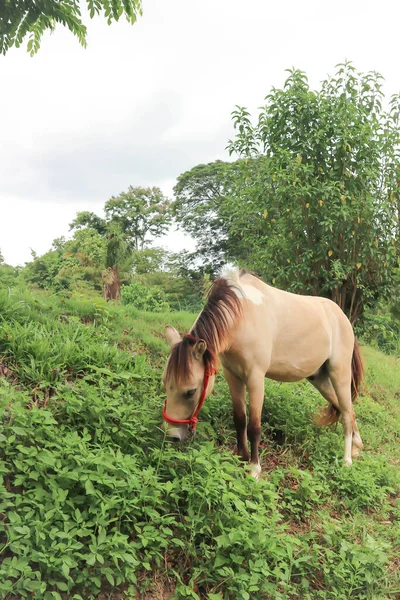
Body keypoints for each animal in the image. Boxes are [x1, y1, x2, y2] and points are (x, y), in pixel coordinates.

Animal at [161, 268, 364, 478]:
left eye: (191, 391)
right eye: (165, 383)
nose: (171, 435)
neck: (242, 316)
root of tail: (343, 319)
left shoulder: (255, 378)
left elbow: (254, 427)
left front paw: (254, 469)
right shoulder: (233, 376)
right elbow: (240, 420)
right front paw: (241, 458)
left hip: (339, 374)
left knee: (346, 413)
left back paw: (347, 460)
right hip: (319, 379)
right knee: (347, 409)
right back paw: (357, 448)